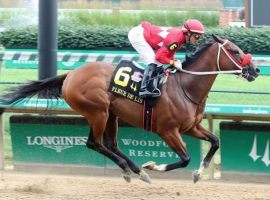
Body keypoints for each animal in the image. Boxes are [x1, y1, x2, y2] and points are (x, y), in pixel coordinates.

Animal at [0, 35, 260, 184]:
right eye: (235, 51)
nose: (256, 70)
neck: (185, 86)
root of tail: (71, 74)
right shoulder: (168, 131)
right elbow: (185, 158)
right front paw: (153, 165)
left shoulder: (191, 127)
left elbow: (215, 141)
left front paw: (199, 173)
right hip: (98, 111)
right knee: (95, 143)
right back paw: (134, 170)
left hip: (111, 114)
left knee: (110, 144)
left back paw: (135, 170)